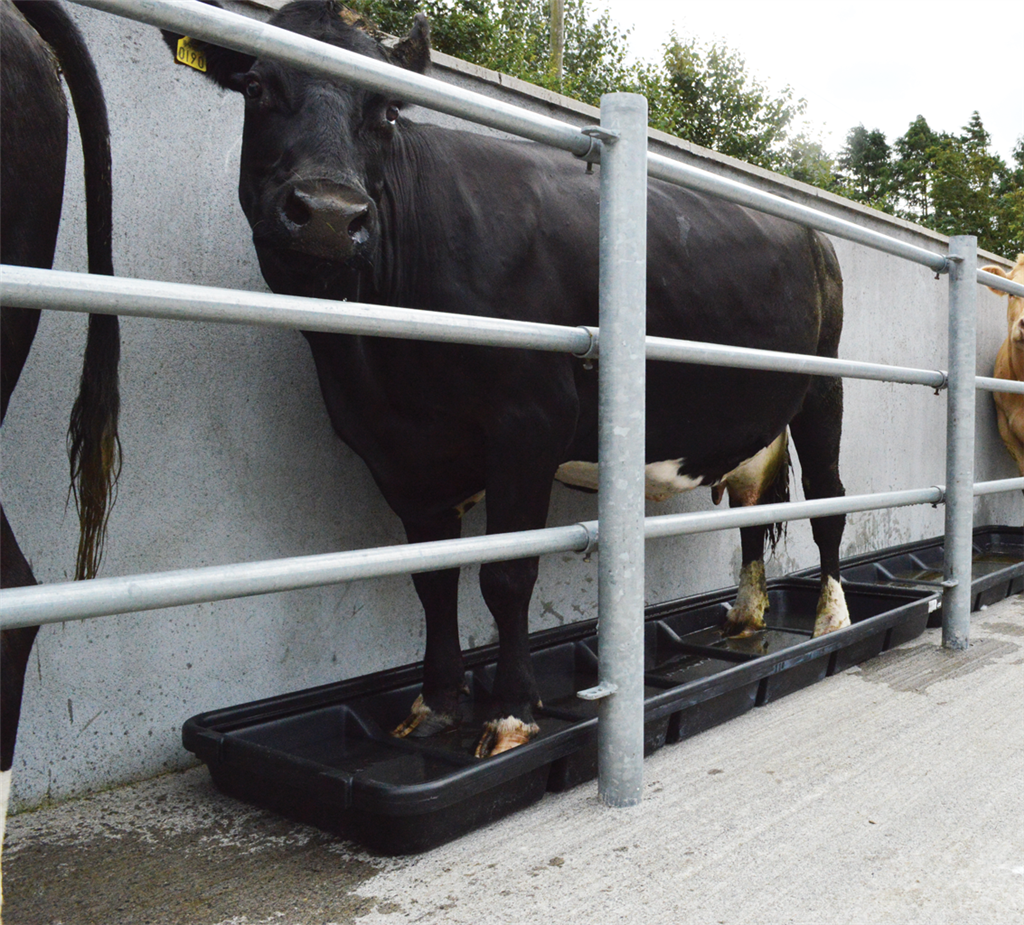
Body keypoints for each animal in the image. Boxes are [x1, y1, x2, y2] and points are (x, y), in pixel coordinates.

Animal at [162, 0, 848, 758]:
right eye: (256, 85)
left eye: (388, 110)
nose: (329, 215)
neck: (377, 362)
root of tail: (809, 229)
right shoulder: (396, 449)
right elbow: (433, 579)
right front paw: (434, 704)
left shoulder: (529, 420)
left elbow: (508, 574)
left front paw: (511, 710)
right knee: (753, 506)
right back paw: (747, 616)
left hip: (825, 387)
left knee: (830, 500)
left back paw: (830, 617)